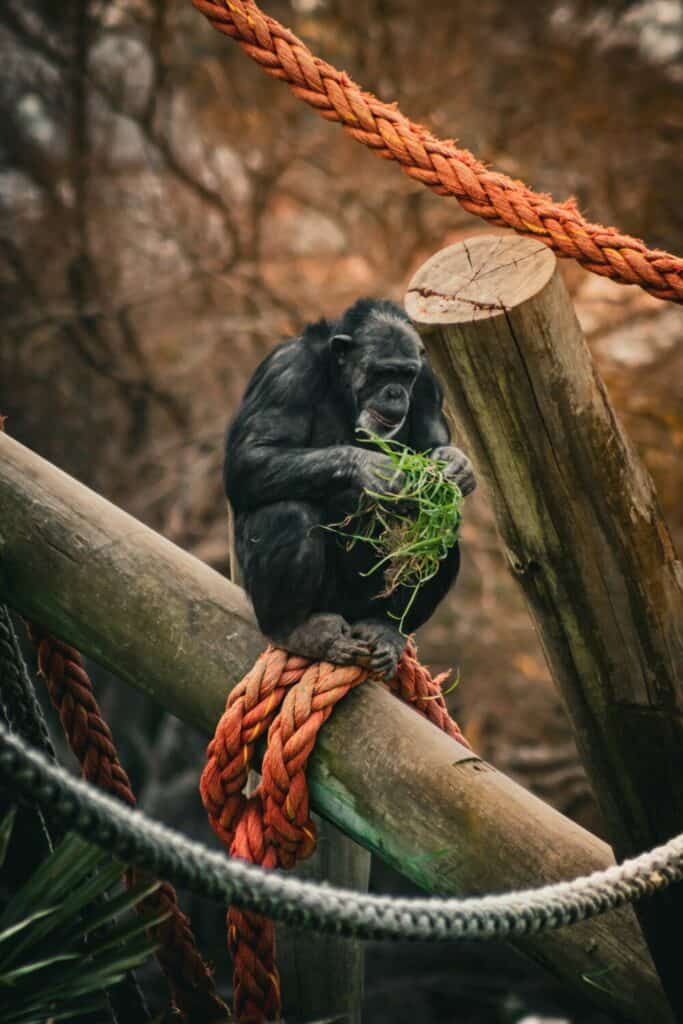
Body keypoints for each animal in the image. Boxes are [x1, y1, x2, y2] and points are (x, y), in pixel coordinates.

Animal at [225, 299, 475, 675]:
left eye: (405, 374)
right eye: (382, 372)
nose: (395, 392)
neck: (341, 385)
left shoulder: (427, 382)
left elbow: (431, 445)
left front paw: (456, 465)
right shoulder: (285, 373)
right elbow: (250, 457)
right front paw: (371, 468)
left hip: (364, 603)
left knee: (441, 534)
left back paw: (385, 627)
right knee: (289, 512)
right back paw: (297, 630)